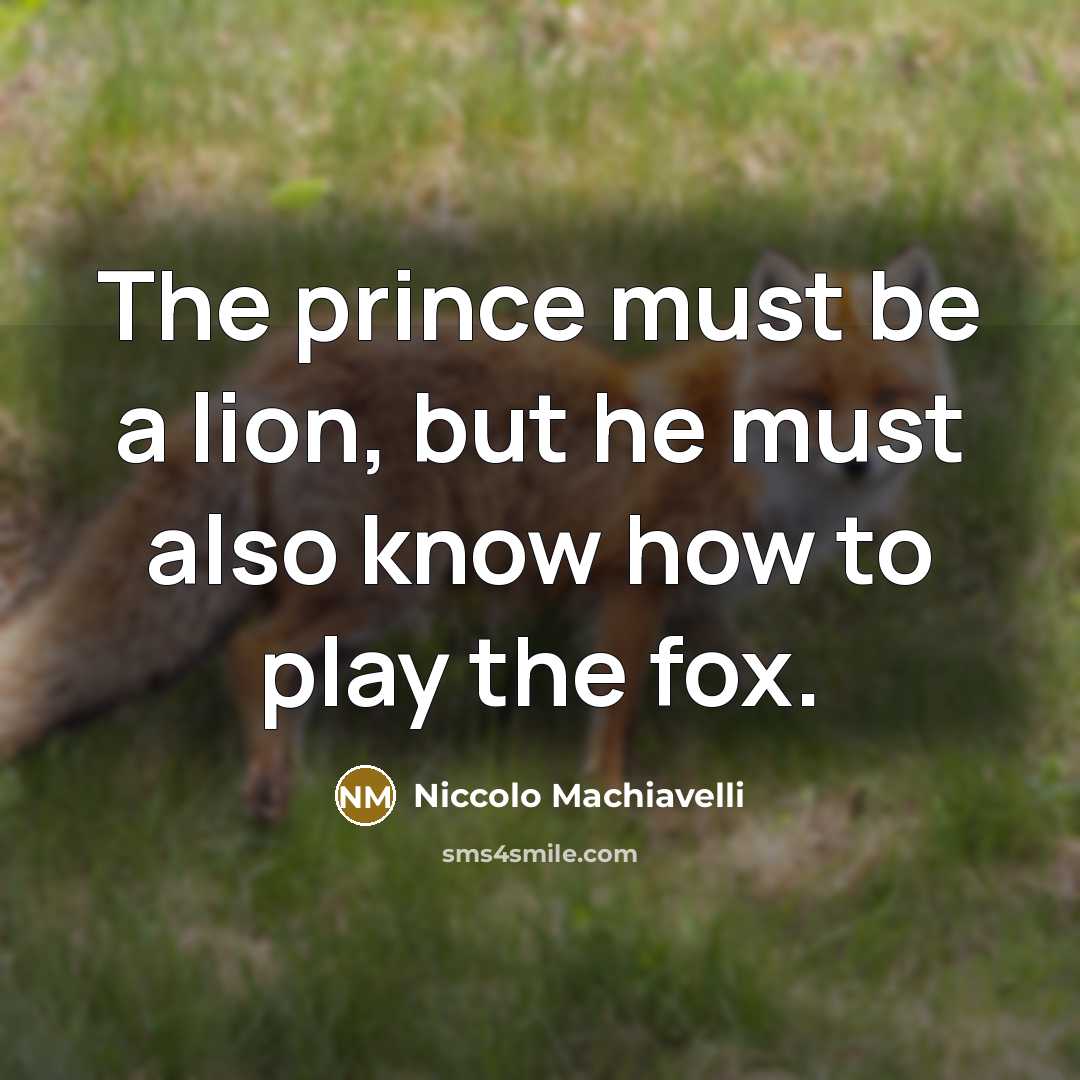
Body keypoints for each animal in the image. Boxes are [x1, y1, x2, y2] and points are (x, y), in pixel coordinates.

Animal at [0, 248, 953, 821]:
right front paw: (607, 795)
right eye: (814, 400)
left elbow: (746, 675)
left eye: (885, 399)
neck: (749, 455)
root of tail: (273, 362)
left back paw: (292, 773)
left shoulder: (694, 601)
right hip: (382, 584)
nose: (859, 465)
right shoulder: (632, 582)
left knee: (272, 663)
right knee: (251, 651)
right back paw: (272, 787)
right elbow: (616, 706)